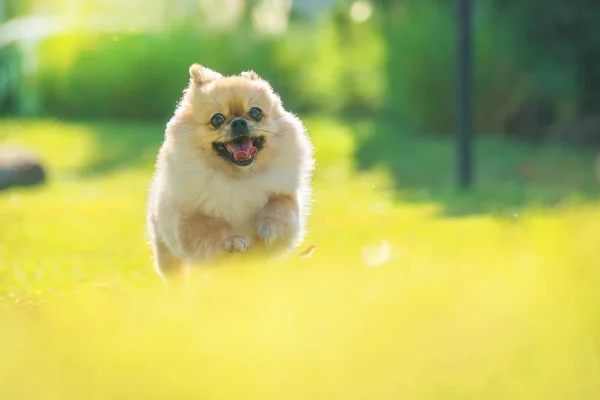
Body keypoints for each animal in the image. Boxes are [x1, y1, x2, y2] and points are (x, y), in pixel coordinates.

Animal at [146, 65, 314, 284]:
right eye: (217, 119)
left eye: (256, 113)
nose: (239, 122)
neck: (238, 177)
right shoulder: (189, 217)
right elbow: (211, 226)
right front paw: (234, 241)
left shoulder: (284, 194)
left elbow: (280, 206)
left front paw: (271, 228)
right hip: (169, 256)